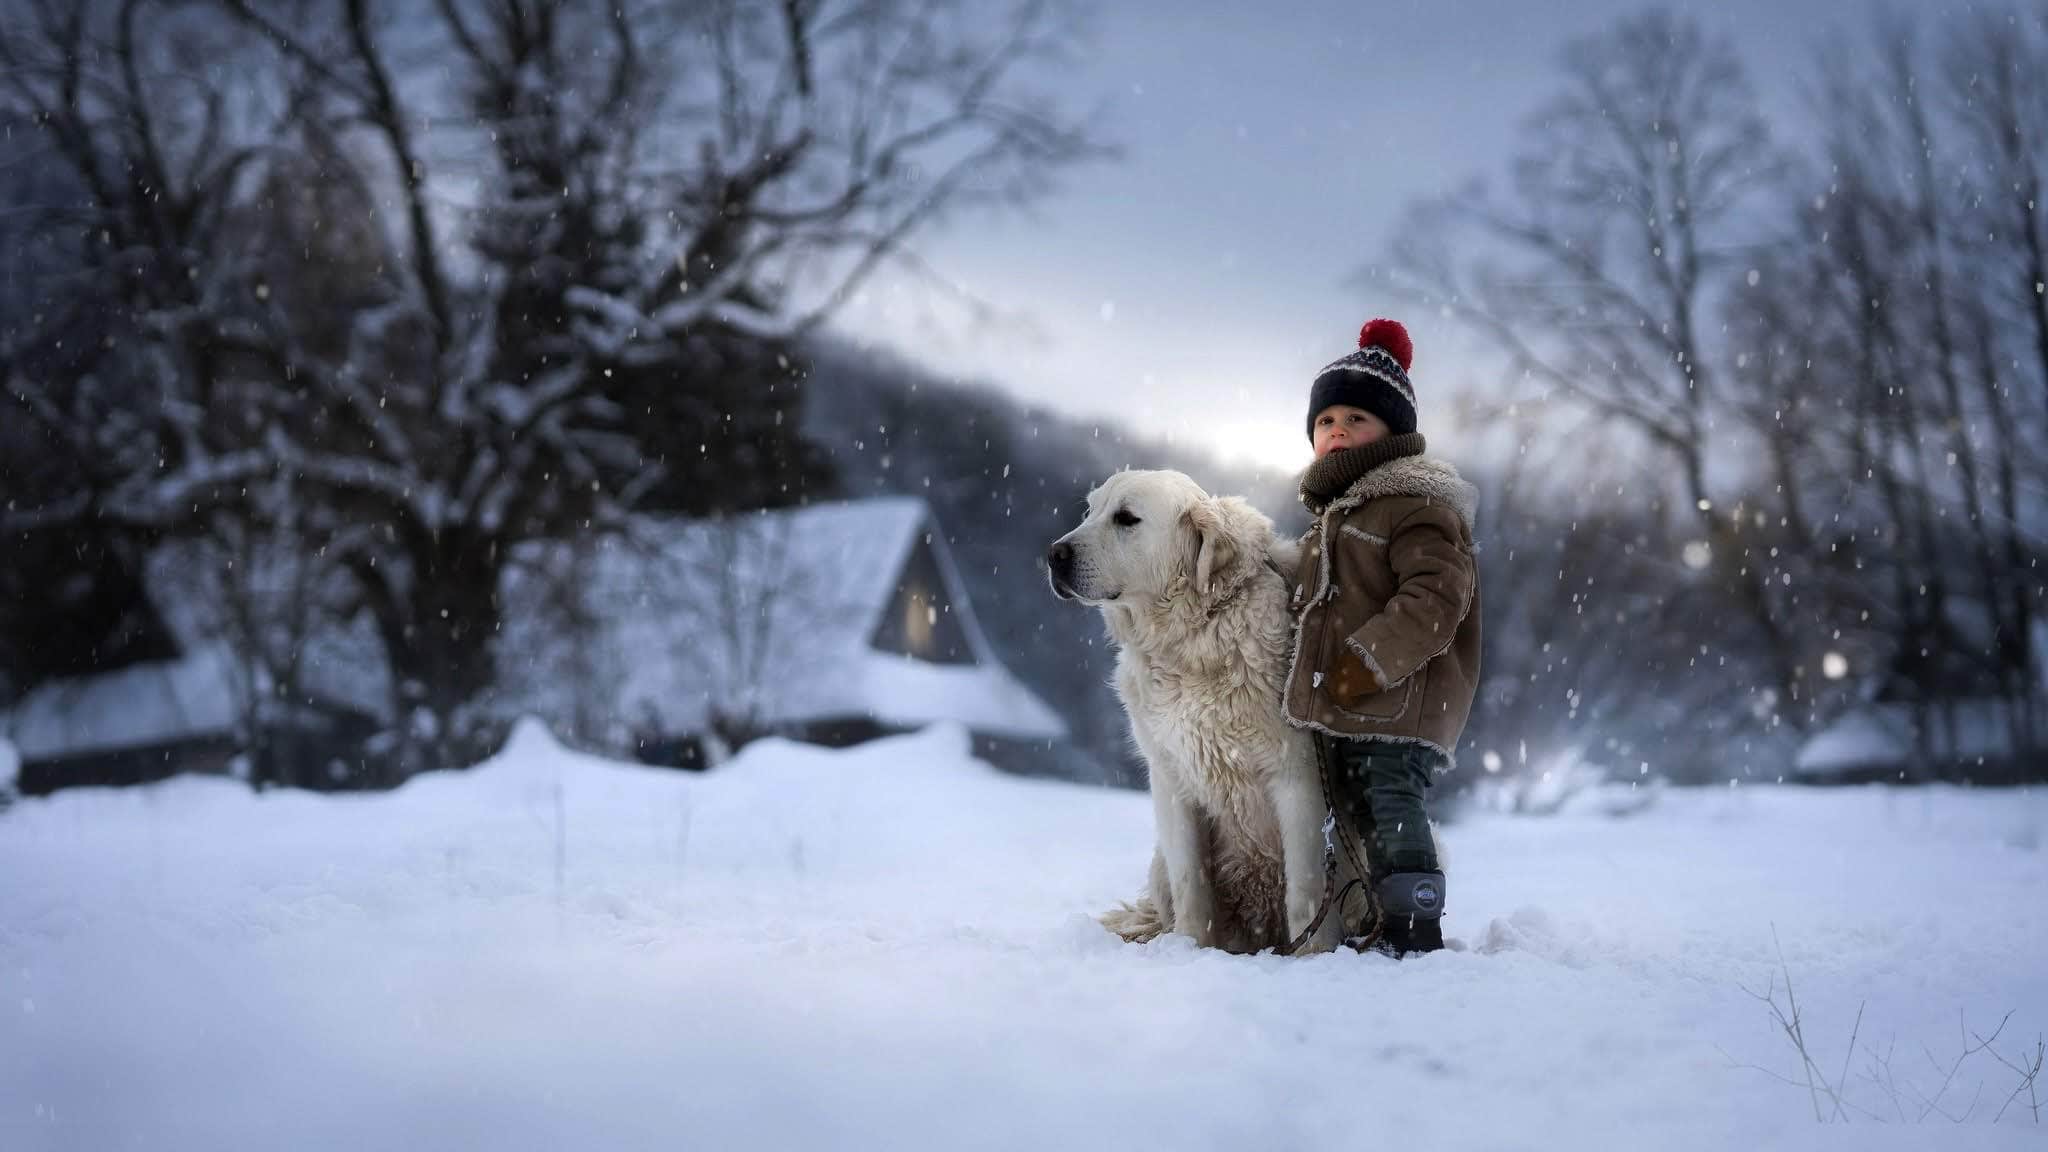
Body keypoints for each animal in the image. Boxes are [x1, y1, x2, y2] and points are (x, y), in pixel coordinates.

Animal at [1040, 467, 1359, 951]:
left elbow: (1306, 889)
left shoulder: (1297, 775)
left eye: (1126, 518)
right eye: (1089, 511)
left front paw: (1316, 955)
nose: (1054, 554)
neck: (1194, 635)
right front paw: (1188, 949)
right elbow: (1192, 881)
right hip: (1159, 865)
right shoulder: (1172, 776)